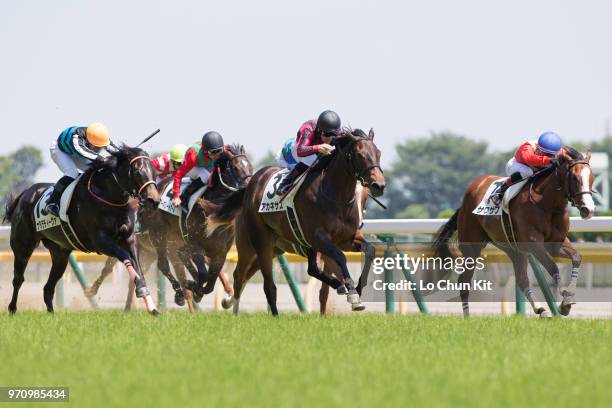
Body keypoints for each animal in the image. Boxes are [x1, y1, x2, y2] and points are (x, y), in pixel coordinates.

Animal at [3, 145, 161, 314]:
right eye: (137, 171)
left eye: (154, 171)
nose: (154, 200)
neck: (108, 196)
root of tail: (25, 194)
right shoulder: (99, 241)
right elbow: (126, 257)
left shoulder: (129, 238)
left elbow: (137, 264)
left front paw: (150, 304)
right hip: (23, 247)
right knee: (18, 279)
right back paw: (12, 308)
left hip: (60, 254)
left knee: (48, 288)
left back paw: (51, 313)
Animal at [208, 128, 384, 316]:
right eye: (360, 154)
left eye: (378, 153)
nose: (379, 185)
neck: (335, 197)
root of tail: (252, 184)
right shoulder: (319, 238)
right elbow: (339, 258)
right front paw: (351, 291)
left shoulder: (345, 239)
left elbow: (370, 251)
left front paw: (355, 289)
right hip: (255, 244)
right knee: (253, 280)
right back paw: (256, 312)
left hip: (276, 248)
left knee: (307, 269)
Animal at [430, 147, 592, 318]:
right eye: (574, 178)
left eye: (592, 177)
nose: (588, 209)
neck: (546, 204)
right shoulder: (534, 243)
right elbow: (553, 267)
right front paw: (565, 301)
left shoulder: (555, 243)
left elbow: (576, 257)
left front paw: (567, 298)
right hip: (472, 247)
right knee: (464, 281)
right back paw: (467, 317)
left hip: (513, 249)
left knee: (521, 280)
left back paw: (541, 310)